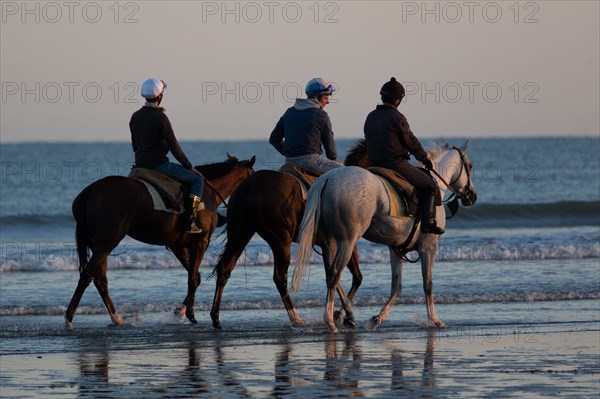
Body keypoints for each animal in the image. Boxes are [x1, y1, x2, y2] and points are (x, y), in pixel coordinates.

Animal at [65, 155, 255, 330]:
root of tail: (89, 192)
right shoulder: (201, 242)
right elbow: (193, 278)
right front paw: (190, 314)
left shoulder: (178, 246)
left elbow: (196, 276)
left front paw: (180, 311)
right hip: (106, 244)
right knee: (87, 276)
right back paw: (69, 319)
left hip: (100, 246)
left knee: (99, 280)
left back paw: (117, 319)